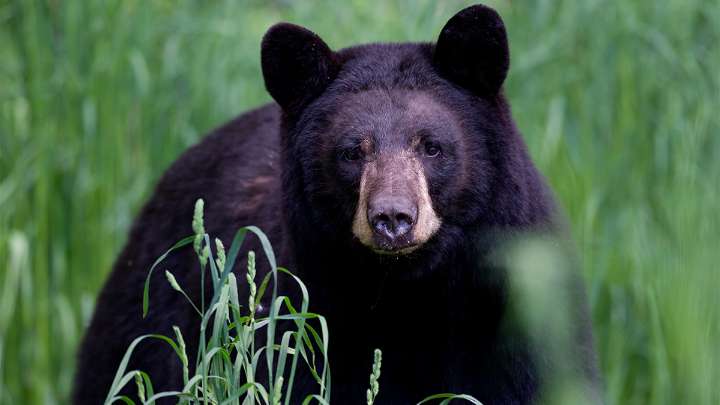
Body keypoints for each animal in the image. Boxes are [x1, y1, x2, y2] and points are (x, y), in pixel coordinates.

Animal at [73, 4, 601, 405]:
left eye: (432, 146)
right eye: (351, 151)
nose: (392, 218)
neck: (410, 298)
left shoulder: (517, 323)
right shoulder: (303, 322)